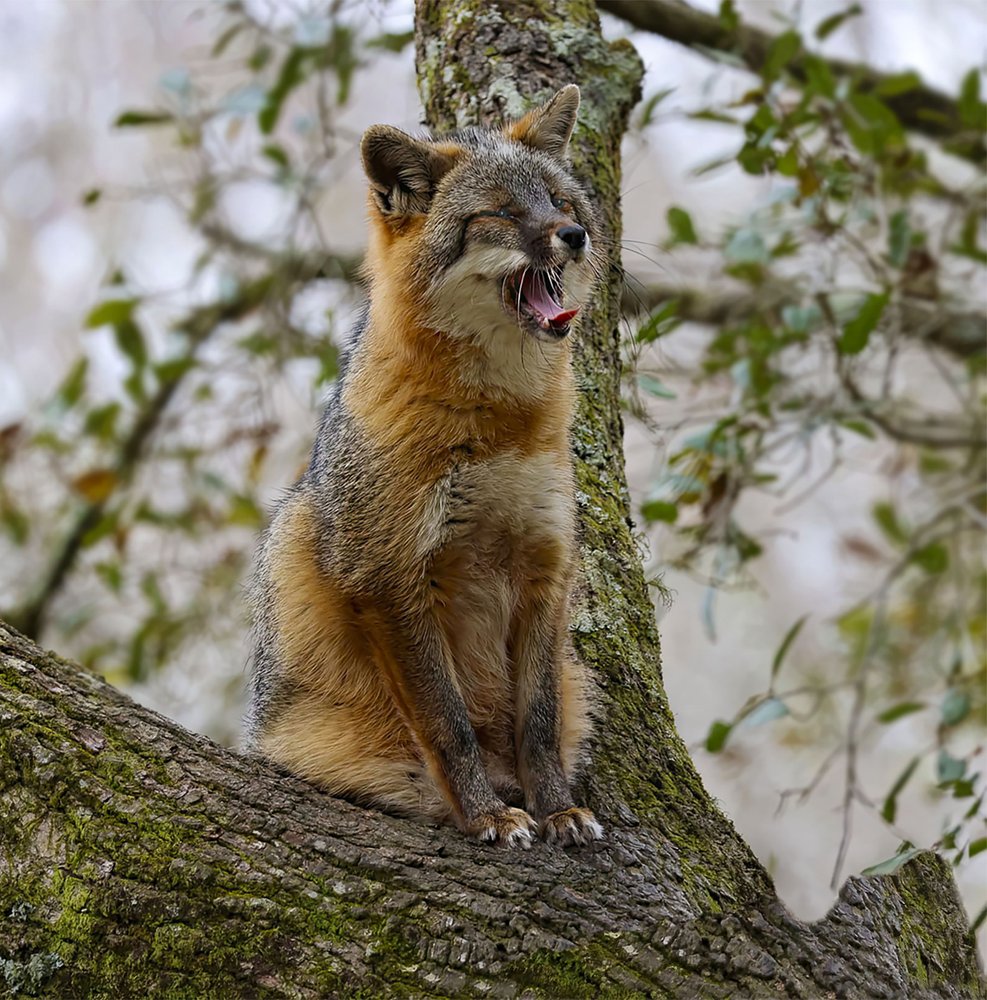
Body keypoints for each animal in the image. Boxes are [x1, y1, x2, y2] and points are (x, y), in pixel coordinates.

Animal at [245, 85, 603, 848]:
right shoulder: (387, 577)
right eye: (501, 214)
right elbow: (448, 724)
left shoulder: (545, 566)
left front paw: (556, 807)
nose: (574, 236)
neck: (497, 427)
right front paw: (486, 815)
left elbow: (538, 722)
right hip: (296, 529)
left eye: (561, 202)